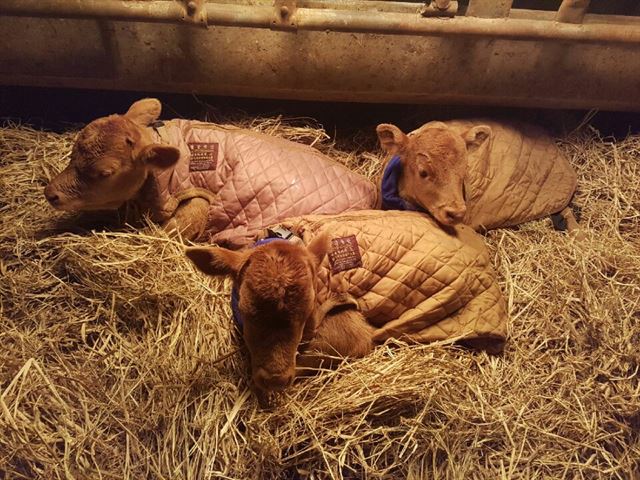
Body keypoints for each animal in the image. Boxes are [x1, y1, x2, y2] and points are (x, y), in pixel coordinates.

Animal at [43, 98, 380, 248]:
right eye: (74, 150)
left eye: (104, 172)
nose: (50, 193)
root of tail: (372, 193)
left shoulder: (197, 199)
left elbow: (173, 228)